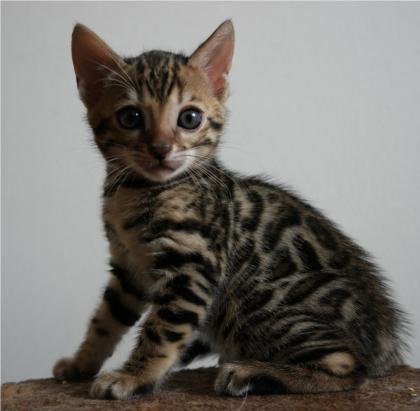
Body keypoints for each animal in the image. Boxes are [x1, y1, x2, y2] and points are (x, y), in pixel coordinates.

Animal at [52, 19, 406, 400]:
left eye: (190, 118)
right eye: (130, 117)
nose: (161, 149)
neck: (139, 191)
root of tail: (385, 342)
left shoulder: (193, 264)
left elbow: (161, 330)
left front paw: (135, 377)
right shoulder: (128, 268)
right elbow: (105, 320)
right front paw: (81, 363)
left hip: (256, 302)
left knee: (347, 365)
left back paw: (250, 373)